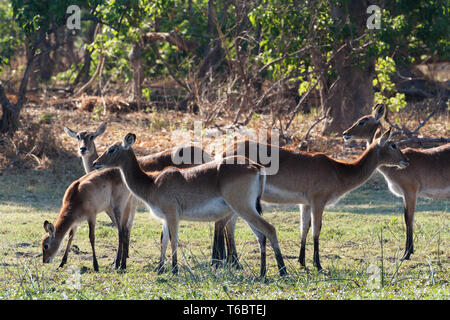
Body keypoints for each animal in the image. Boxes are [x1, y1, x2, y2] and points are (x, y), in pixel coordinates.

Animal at [92, 133, 286, 278]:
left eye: (112, 149)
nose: (95, 163)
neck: (152, 182)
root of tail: (256, 166)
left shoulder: (173, 215)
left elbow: (174, 240)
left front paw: (174, 270)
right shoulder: (165, 218)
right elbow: (163, 241)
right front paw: (160, 269)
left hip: (243, 208)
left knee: (270, 229)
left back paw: (282, 272)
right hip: (245, 210)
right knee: (261, 236)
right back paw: (262, 274)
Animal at [223, 127, 410, 270]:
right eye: (393, 144)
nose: (406, 161)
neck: (338, 171)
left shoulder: (305, 204)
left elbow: (304, 228)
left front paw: (302, 262)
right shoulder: (318, 202)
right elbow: (317, 229)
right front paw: (318, 264)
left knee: (229, 225)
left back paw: (232, 262)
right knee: (230, 225)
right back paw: (235, 263)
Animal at [342, 104, 448, 262]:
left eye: (362, 121)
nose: (345, 133)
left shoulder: (410, 191)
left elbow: (408, 218)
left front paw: (406, 254)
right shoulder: (405, 195)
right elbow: (407, 217)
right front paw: (408, 252)